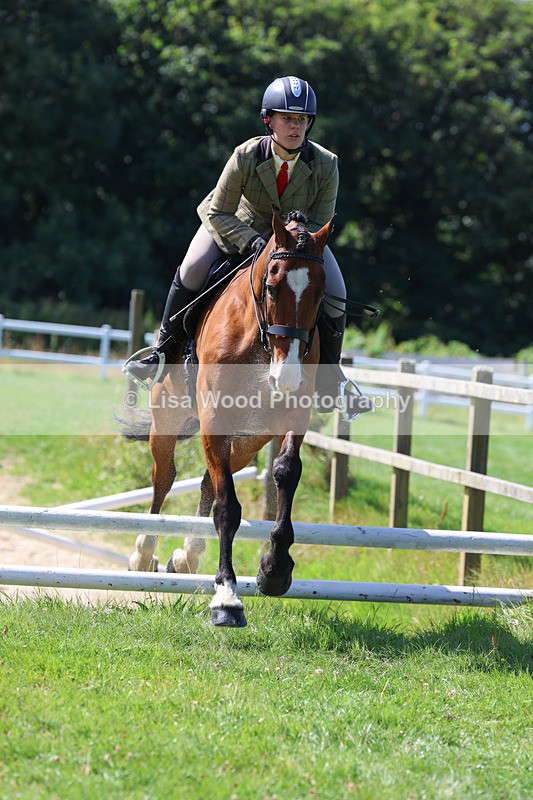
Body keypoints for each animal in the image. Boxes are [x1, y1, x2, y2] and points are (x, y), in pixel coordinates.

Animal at [127, 208, 333, 627]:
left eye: (321, 295)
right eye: (271, 287)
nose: (286, 377)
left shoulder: (292, 414)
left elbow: (286, 471)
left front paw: (275, 570)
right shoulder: (214, 416)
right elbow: (227, 509)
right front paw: (227, 598)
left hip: (248, 439)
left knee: (209, 480)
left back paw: (186, 556)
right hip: (166, 423)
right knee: (164, 479)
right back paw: (144, 552)